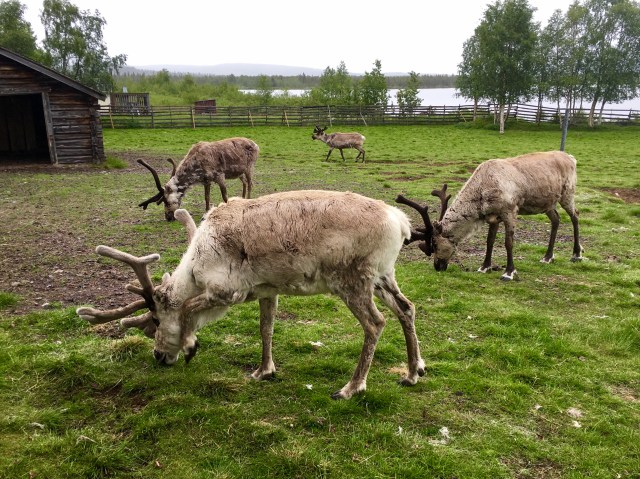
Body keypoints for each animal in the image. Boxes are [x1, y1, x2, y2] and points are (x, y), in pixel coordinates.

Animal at [77, 190, 425, 400]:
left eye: (156, 322)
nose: (159, 357)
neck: (196, 267)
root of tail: (401, 222)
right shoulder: (267, 289)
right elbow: (266, 328)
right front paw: (264, 371)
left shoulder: (226, 290)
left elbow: (188, 308)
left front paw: (190, 346)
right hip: (383, 275)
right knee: (406, 307)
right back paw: (413, 372)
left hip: (353, 280)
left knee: (375, 323)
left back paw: (351, 387)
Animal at [395, 151, 584, 281]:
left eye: (434, 244)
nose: (437, 266)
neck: (482, 192)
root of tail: (572, 158)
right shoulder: (493, 216)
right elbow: (490, 241)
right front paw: (484, 267)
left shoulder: (509, 211)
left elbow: (508, 242)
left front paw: (509, 272)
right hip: (547, 203)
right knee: (556, 219)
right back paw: (547, 257)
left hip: (568, 193)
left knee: (575, 216)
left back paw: (577, 254)